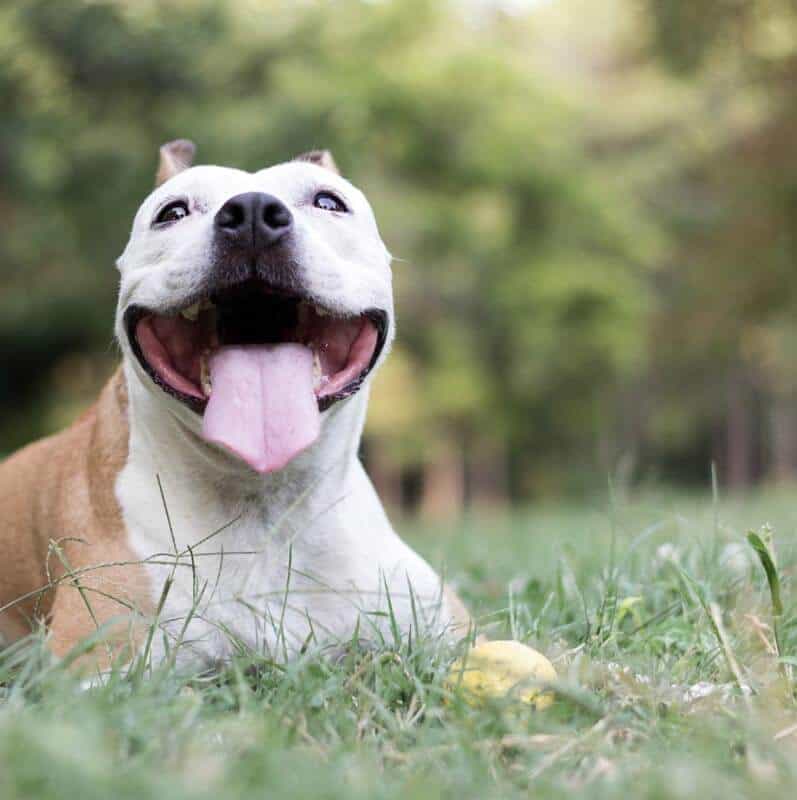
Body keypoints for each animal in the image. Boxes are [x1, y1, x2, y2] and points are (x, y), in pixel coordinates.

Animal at [0, 141, 472, 664]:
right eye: (173, 212)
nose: (252, 212)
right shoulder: (96, 664)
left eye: (328, 202)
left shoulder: (451, 628)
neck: (265, 505)